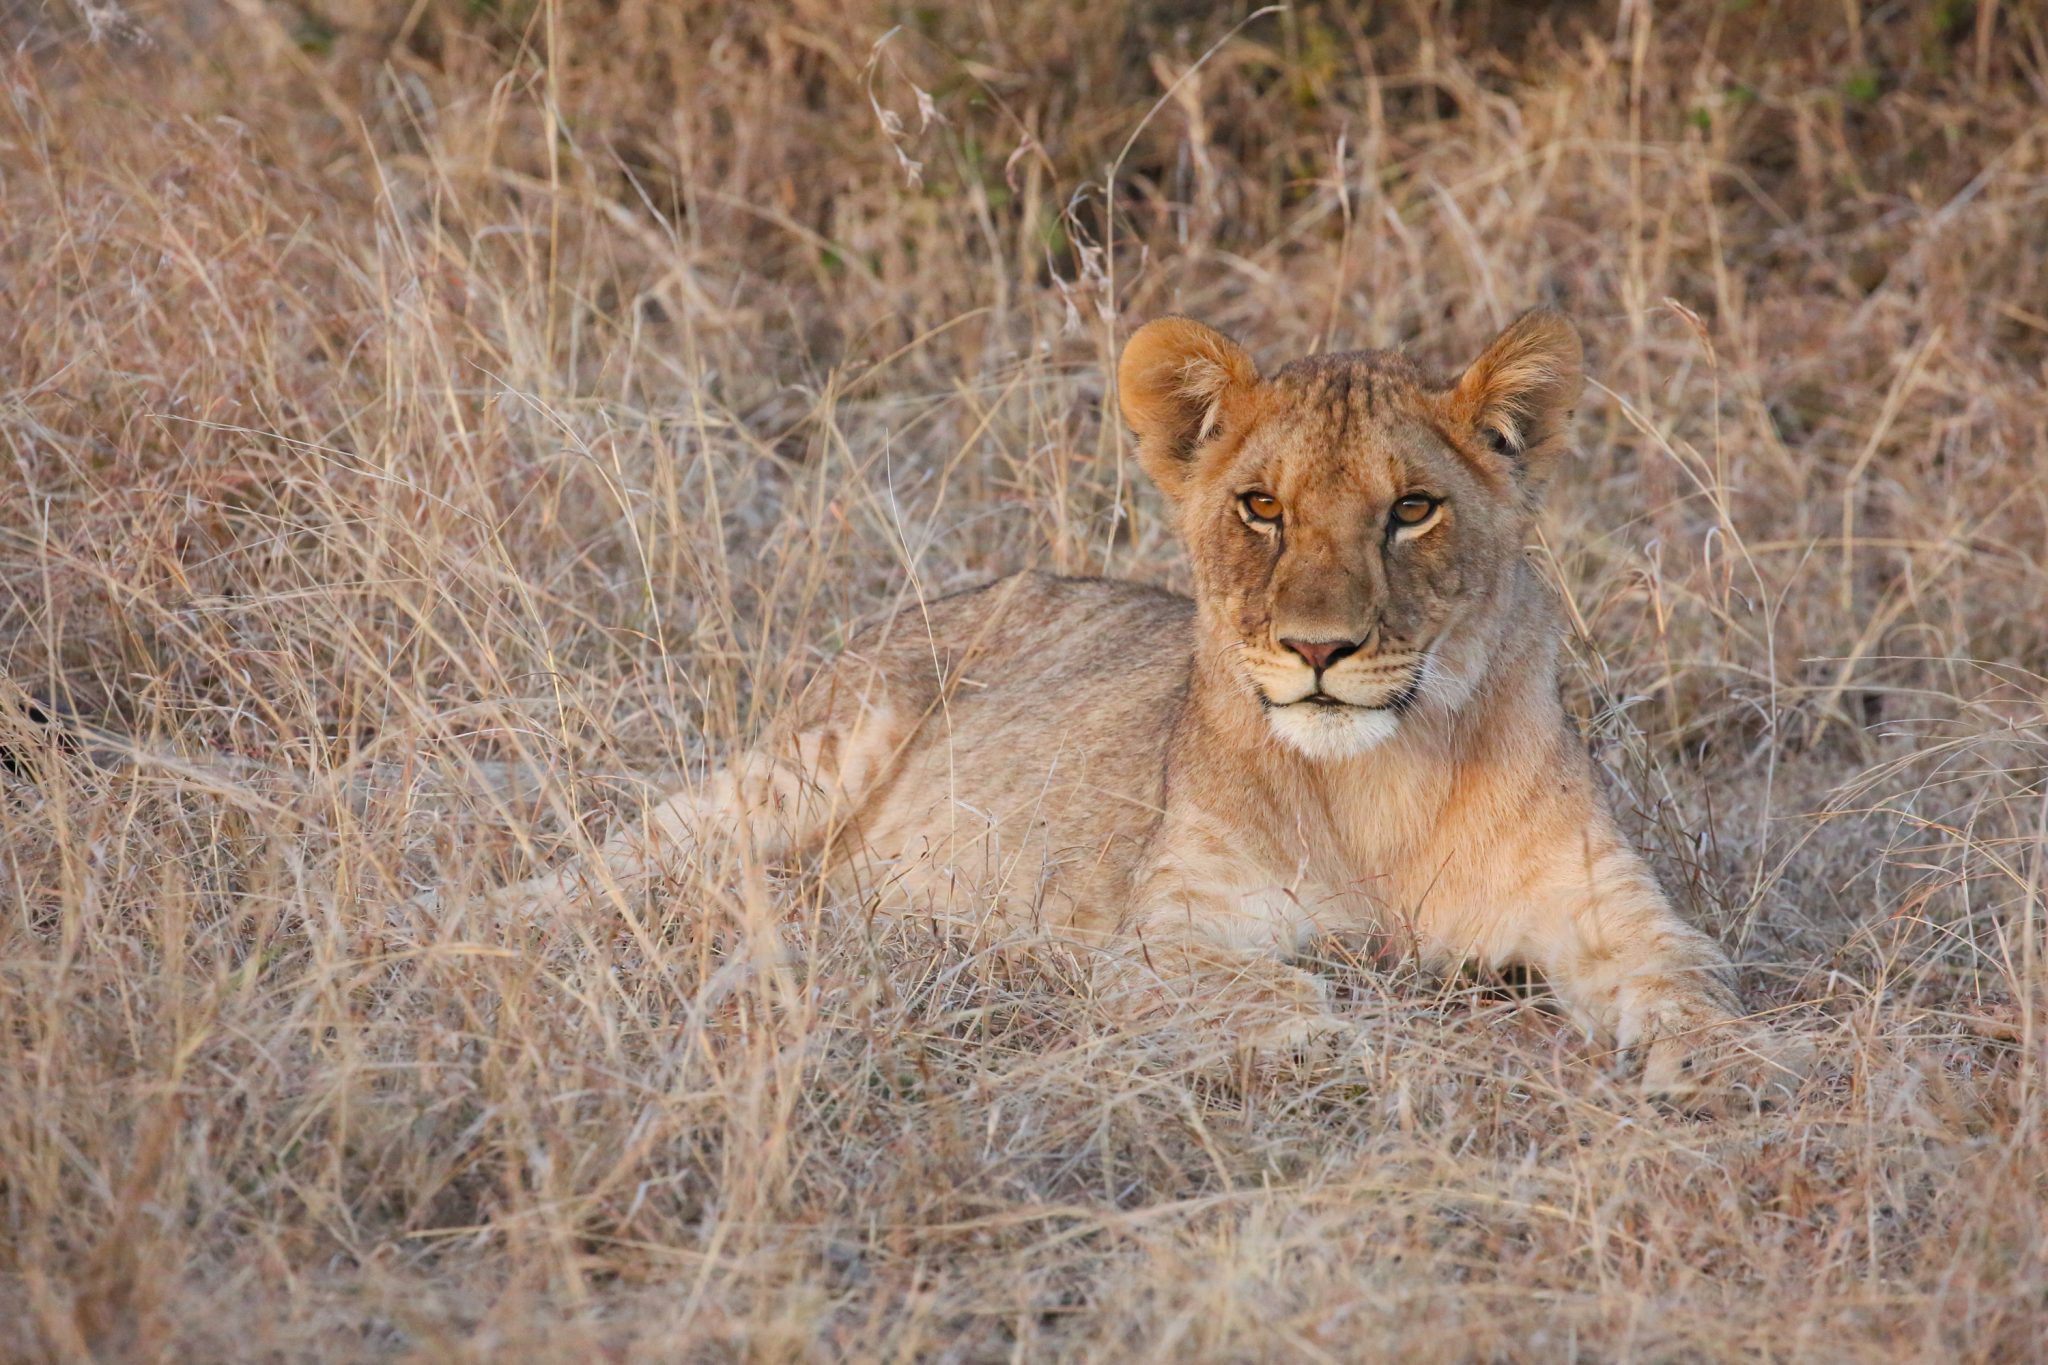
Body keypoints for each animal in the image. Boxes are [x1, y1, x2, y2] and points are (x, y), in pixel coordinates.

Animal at [485, 309, 1810, 1110]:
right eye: (1261, 507)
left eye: (1411, 510)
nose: (1318, 649)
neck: (1377, 781)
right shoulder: (1163, 933)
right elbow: (1278, 992)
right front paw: (1343, 1045)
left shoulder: (1610, 911)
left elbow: (1693, 978)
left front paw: (1733, 1065)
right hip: (803, 758)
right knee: (613, 865)